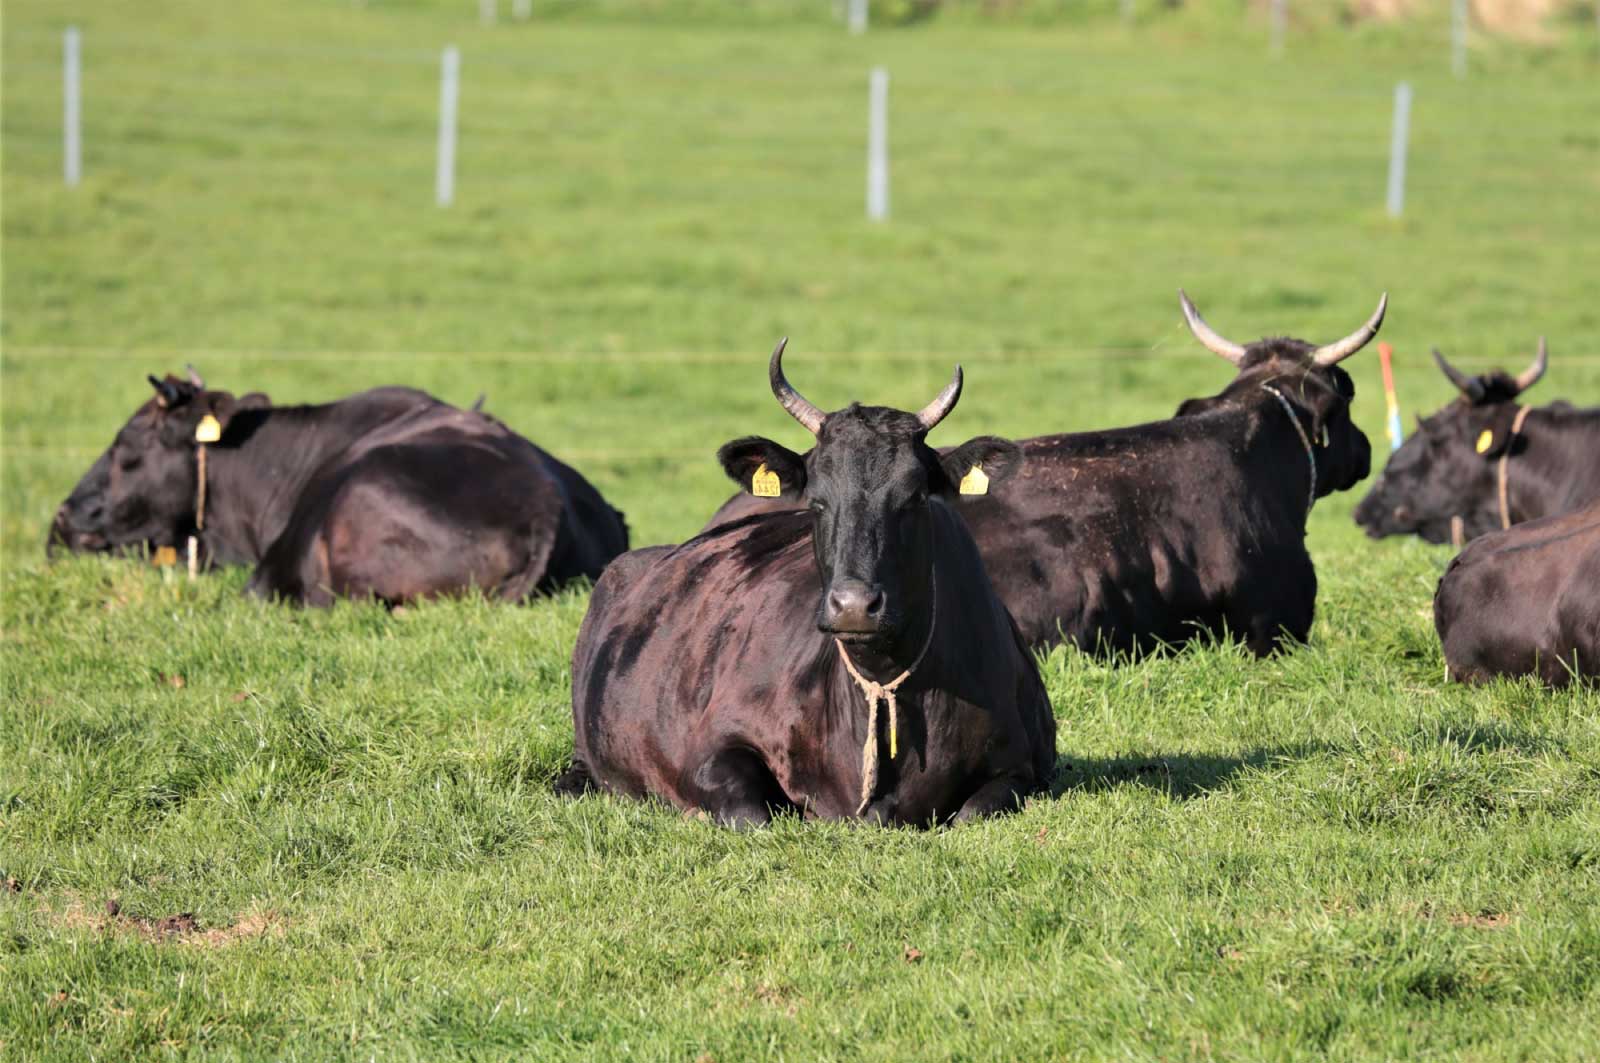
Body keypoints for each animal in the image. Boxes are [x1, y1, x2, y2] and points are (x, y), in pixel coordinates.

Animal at [556, 344, 1056, 826]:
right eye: (817, 501)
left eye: (914, 497)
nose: (854, 606)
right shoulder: (710, 748)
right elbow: (752, 815)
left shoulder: (1022, 767)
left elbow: (972, 813)